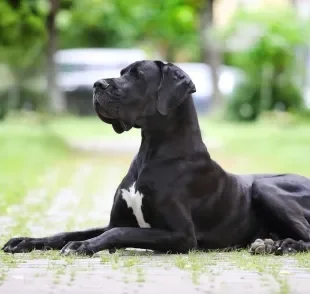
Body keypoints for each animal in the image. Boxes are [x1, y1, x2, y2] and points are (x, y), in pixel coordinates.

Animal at [3, 59, 310, 255]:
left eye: (138, 75)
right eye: (121, 72)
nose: (96, 84)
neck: (150, 151)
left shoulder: (183, 236)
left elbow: (116, 234)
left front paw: (83, 247)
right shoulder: (116, 220)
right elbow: (70, 232)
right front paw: (24, 241)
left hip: (265, 186)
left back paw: (285, 245)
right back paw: (267, 243)